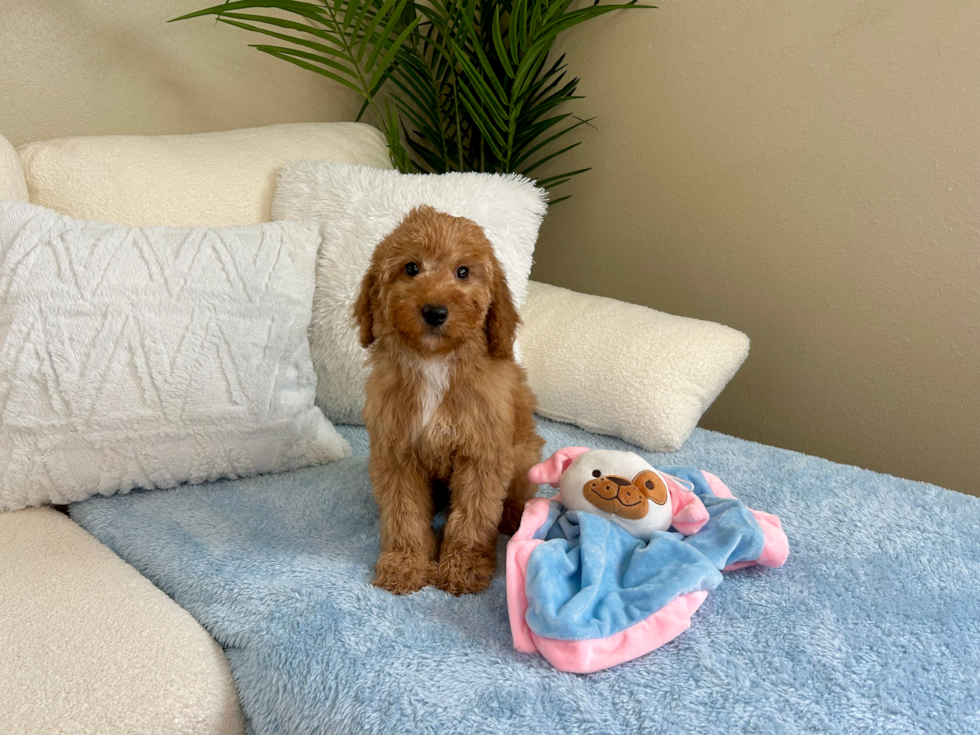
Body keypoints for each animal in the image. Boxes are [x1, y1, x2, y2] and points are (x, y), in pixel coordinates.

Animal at [356, 204, 548, 596]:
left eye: (463, 271)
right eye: (411, 268)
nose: (435, 311)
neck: (435, 362)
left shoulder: (481, 455)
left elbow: (473, 516)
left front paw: (465, 567)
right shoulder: (396, 453)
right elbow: (403, 513)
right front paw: (405, 564)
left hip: (523, 453)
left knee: (519, 494)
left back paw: (512, 518)